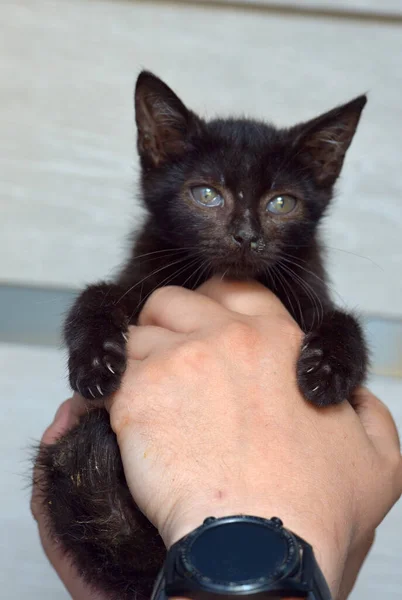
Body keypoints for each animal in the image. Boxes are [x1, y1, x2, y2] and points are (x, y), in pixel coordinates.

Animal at [36, 74, 370, 600]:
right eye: (206, 194)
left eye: (281, 203)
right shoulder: (141, 277)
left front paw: (328, 370)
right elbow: (94, 296)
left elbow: (348, 323)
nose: (246, 236)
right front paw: (93, 362)